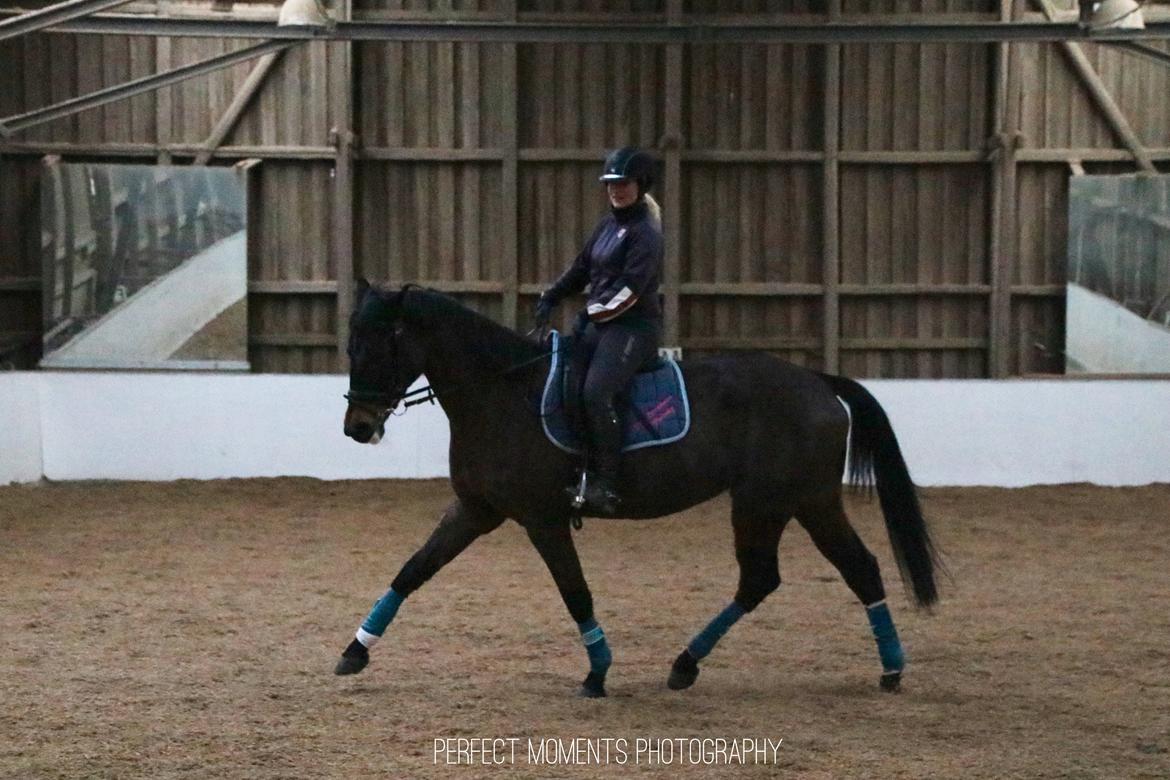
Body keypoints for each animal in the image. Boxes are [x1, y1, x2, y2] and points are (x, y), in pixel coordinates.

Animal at [332, 284, 940, 696]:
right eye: (350, 342)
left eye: (380, 342)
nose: (357, 427)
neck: (502, 393)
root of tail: (817, 383)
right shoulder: (476, 509)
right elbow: (413, 570)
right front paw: (354, 652)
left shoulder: (542, 518)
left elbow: (575, 592)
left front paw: (597, 673)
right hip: (790, 503)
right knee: (791, 576)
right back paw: (690, 665)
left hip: (780, 501)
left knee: (817, 573)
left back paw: (887, 667)